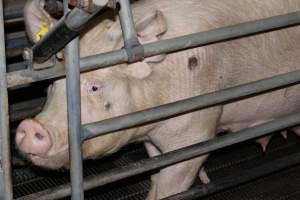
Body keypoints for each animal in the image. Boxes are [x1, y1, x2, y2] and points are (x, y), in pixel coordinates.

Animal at [17, 0, 300, 199]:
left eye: (95, 87)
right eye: (53, 84)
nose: (31, 126)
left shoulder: (197, 130)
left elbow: (171, 185)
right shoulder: (153, 142)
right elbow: (154, 173)